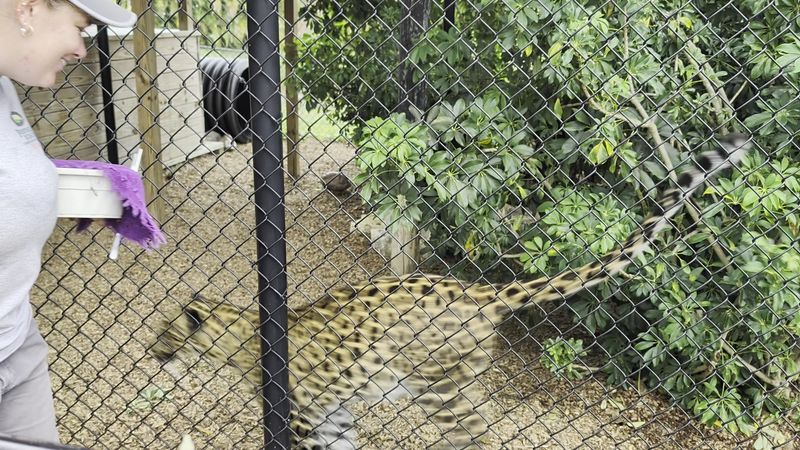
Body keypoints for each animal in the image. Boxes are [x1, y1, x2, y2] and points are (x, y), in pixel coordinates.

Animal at [150, 134, 752, 449]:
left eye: (163, 330)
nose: (152, 352)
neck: (239, 337)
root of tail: (477, 291)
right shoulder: (333, 418)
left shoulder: (304, 422)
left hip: (442, 391)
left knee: (479, 438)